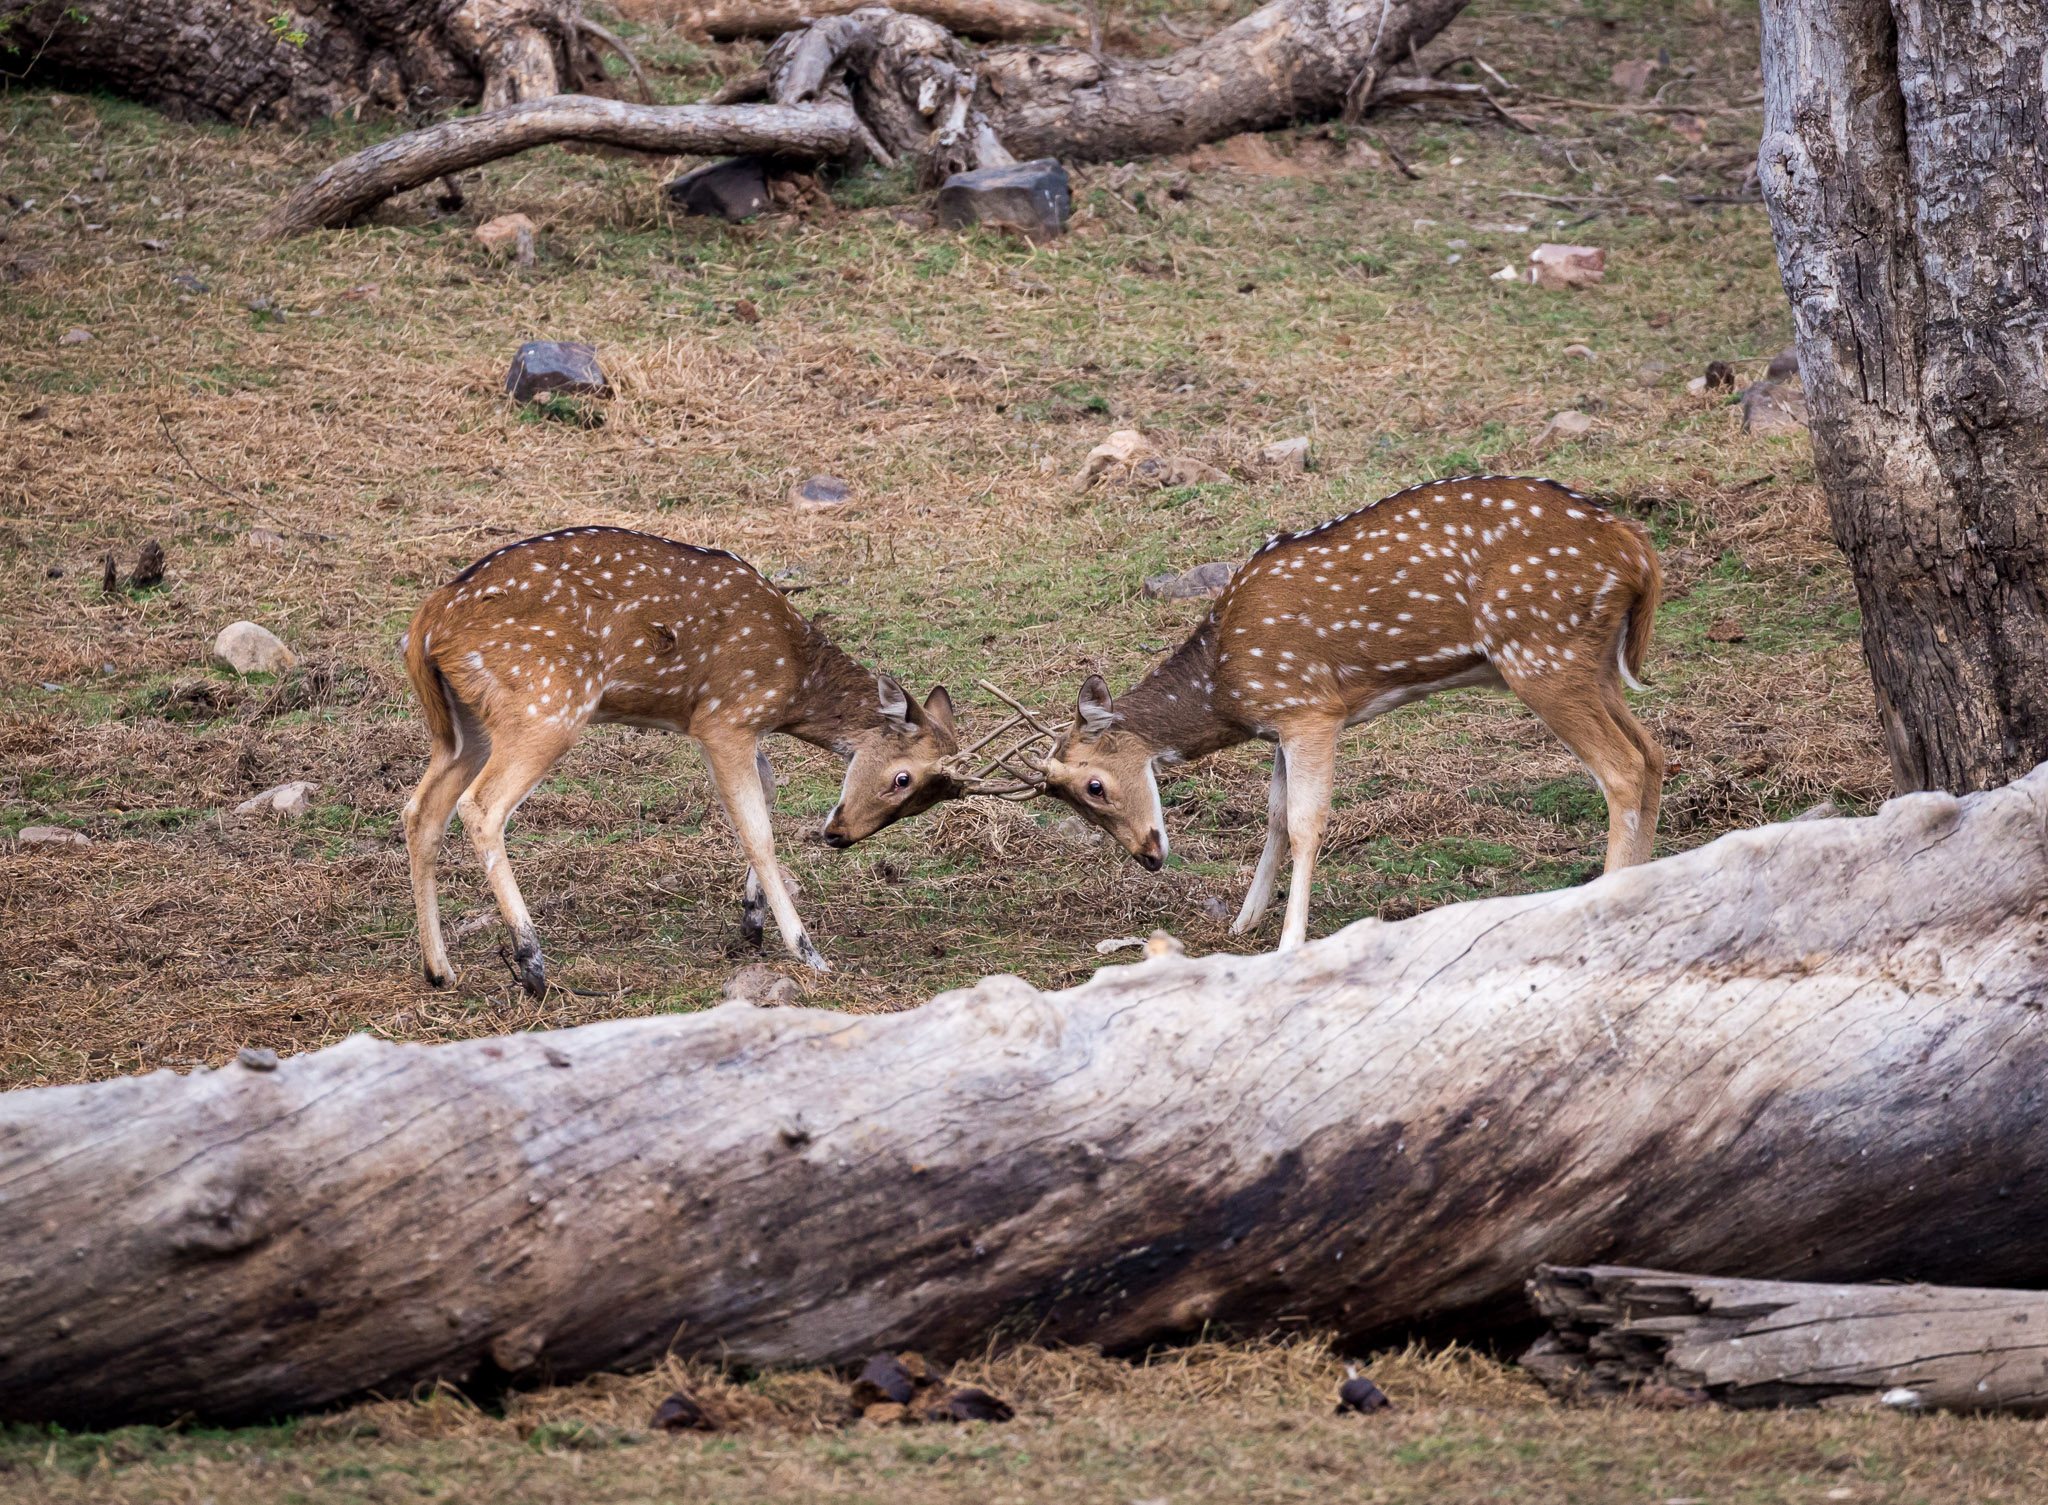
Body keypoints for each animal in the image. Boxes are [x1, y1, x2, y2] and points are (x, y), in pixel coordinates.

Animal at [405, 524, 966, 995]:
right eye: (902, 778)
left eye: (924, 799)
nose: (838, 836)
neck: (793, 684)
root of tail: (426, 625)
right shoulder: (725, 719)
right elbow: (757, 829)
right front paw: (807, 952)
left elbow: (768, 790)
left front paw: (751, 923)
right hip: (544, 706)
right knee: (480, 806)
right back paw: (532, 964)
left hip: (464, 726)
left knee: (421, 809)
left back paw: (440, 970)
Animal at [1040, 477, 1662, 954]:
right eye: (1068, 797)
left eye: (1094, 785)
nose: (1148, 857)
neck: (1224, 685)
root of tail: (1636, 547)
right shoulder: (1281, 726)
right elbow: (1273, 814)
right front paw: (1243, 921)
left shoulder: (1310, 709)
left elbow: (1304, 822)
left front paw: (1290, 941)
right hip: (1594, 661)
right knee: (1653, 753)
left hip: (1542, 650)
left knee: (1622, 768)